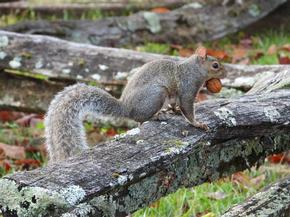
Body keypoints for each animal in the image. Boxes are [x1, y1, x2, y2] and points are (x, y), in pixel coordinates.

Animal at [44, 48, 227, 163]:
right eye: (215, 65)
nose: (225, 73)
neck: (192, 69)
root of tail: (126, 107)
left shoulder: (177, 95)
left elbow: (176, 105)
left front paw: (174, 111)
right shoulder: (187, 89)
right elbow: (187, 109)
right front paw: (198, 124)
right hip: (157, 94)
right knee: (142, 119)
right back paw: (157, 115)